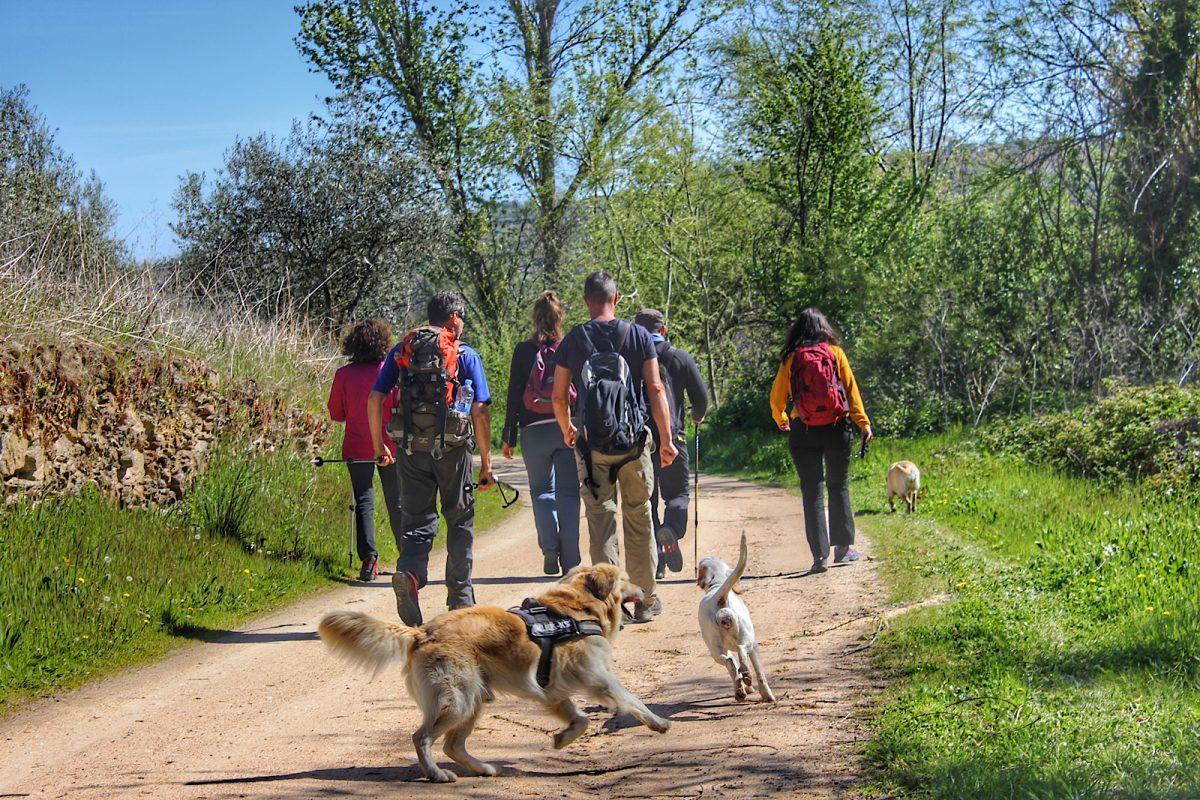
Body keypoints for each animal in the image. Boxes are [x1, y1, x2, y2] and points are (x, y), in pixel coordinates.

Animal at [319, 563, 672, 782]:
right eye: (625, 578)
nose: (644, 589)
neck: (577, 608)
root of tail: (423, 632)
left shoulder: (554, 692)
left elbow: (581, 720)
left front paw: (561, 739)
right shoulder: (600, 679)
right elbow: (633, 700)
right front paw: (658, 723)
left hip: (473, 701)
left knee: (452, 745)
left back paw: (483, 768)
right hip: (457, 701)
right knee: (423, 738)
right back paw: (437, 775)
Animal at [696, 534, 777, 705]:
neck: (717, 584)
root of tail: (718, 598)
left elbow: (735, 671)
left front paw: (744, 688)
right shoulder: (755, 647)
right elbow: (760, 674)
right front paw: (766, 695)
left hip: (716, 651)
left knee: (730, 663)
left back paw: (740, 689)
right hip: (747, 640)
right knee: (740, 652)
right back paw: (746, 676)